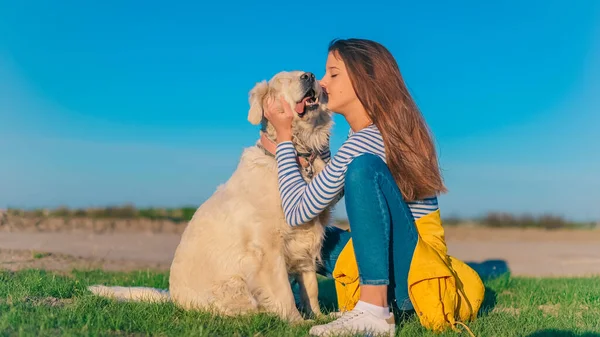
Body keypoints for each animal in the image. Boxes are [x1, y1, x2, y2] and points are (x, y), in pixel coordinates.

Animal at [88, 69, 332, 322]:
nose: (309, 76)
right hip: (233, 287)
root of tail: (172, 297)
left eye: (308, 73)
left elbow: (311, 286)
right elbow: (282, 290)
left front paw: (319, 316)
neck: (300, 156)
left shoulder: (304, 239)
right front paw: (296, 322)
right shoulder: (268, 246)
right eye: (284, 79)